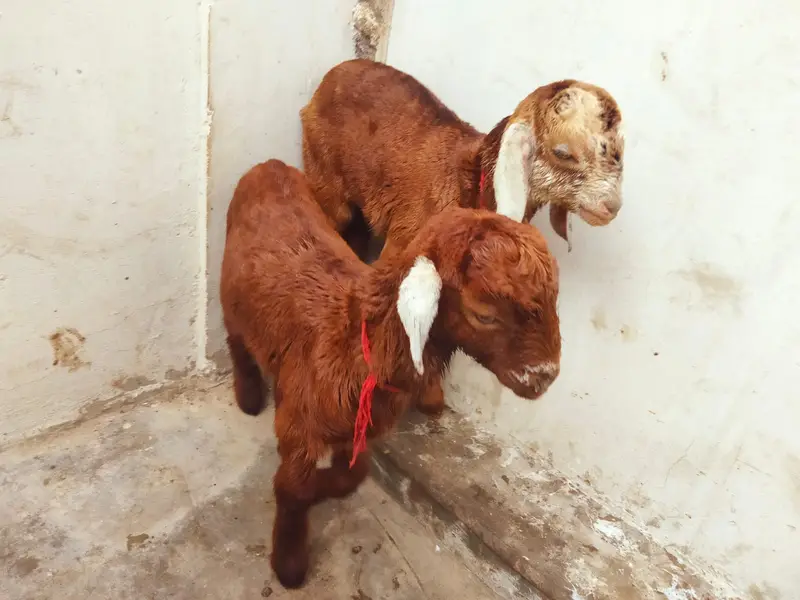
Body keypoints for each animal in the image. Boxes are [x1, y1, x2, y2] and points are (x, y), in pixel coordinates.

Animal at [220, 159, 561, 589]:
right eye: (484, 314)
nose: (545, 375)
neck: (352, 335)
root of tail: (269, 165)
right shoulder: (299, 424)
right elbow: (292, 489)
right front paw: (289, 566)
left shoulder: (358, 425)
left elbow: (354, 474)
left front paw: (325, 488)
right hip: (229, 297)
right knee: (236, 340)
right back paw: (249, 396)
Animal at [300, 58, 622, 417]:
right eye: (562, 152)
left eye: (618, 152)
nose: (611, 206)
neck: (469, 182)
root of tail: (342, 67)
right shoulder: (404, 244)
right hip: (322, 170)